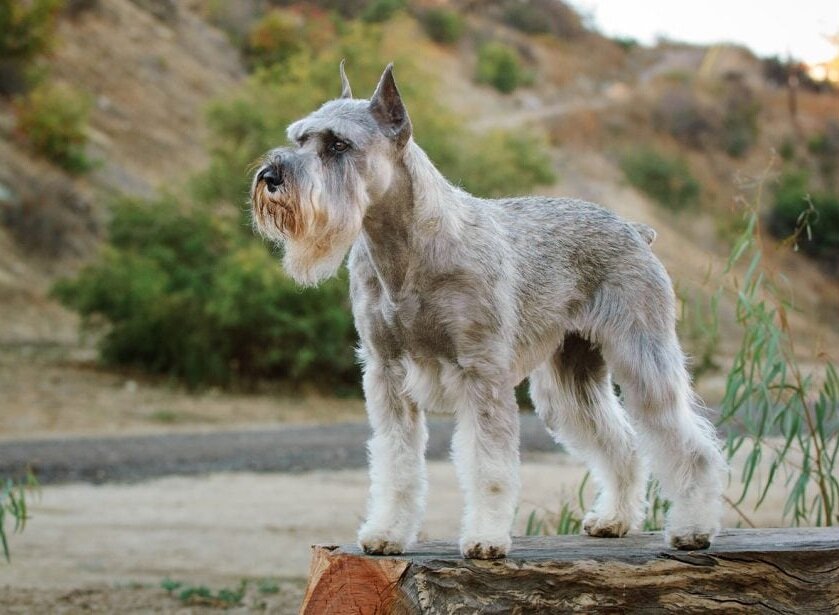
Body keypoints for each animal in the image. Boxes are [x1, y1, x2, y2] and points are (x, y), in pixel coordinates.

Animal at [251, 63, 728, 564]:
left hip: (642, 358)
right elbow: (395, 464)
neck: (405, 250)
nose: (270, 176)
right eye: (299, 138)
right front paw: (385, 533)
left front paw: (485, 539)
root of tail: (636, 229)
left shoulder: (481, 372)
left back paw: (693, 529)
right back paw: (613, 519)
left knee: (688, 444)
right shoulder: (386, 372)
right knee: (622, 444)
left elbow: (489, 467)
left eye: (338, 145)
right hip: (569, 381)